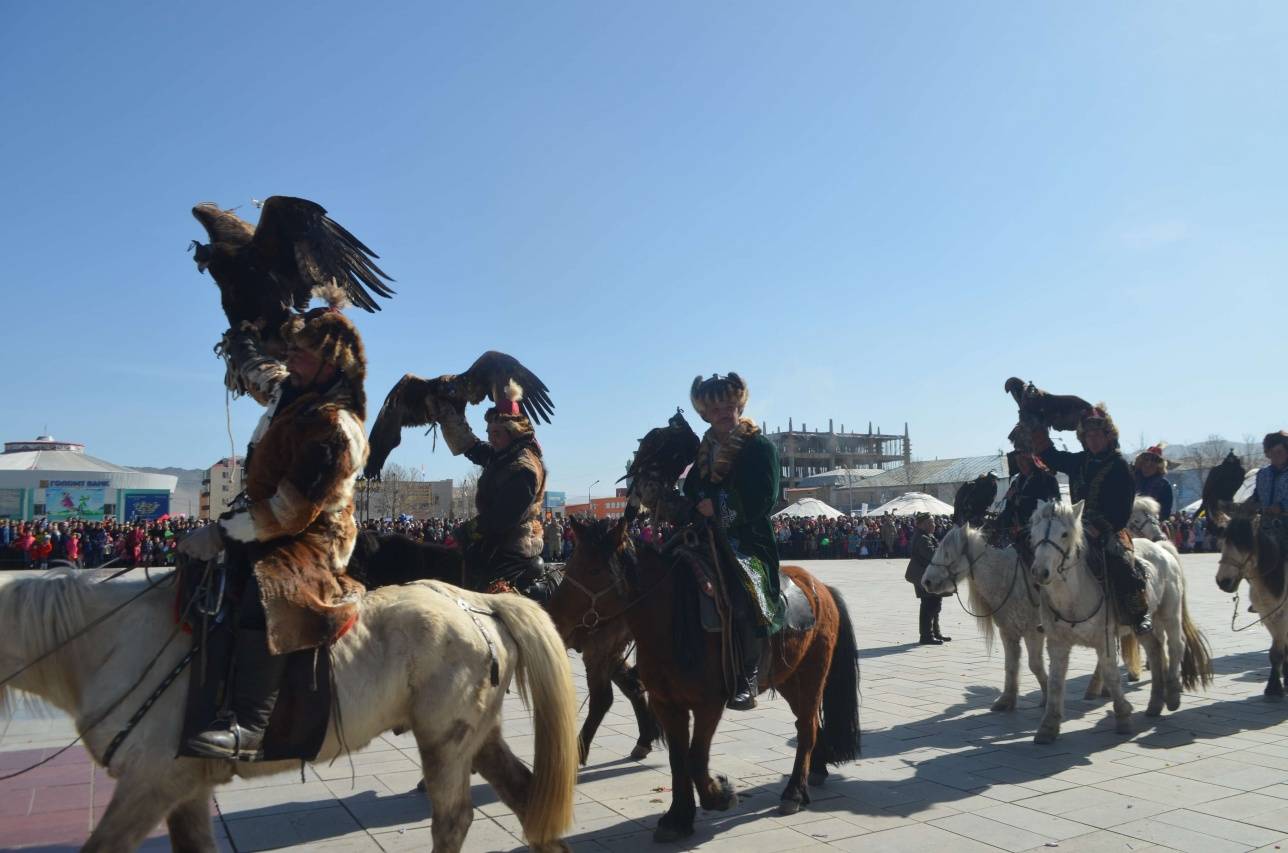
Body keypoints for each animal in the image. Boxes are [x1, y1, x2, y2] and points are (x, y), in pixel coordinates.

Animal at [0, 574, 579, 853]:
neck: (111, 642)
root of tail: (478, 601)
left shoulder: (152, 780)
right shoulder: (183, 786)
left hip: (444, 737)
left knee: (454, 820)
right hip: (474, 733)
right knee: (523, 792)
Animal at [548, 517, 860, 845]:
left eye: (594, 570)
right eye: (570, 567)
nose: (553, 619)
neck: (672, 620)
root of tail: (821, 588)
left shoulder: (709, 704)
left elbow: (696, 758)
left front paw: (719, 796)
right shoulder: (666, 704)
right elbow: (678, 759)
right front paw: (678, 818)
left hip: (813, 674)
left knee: (807, 728)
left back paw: (794, 792)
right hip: (789, 678)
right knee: (807, 723)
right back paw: (816, 771)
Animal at [922, 528, 1040, 716]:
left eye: (947, 554)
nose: (926, 582)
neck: (1008, 577)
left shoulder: (1033, 630)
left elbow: (1035, 665)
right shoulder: (1008, 631)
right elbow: (1011, 666)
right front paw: (1006, 701)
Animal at [1025, 497, 1205, 747]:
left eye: (1064, 534)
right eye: (1034, 533)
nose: (1040, 572)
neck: (1075, 595)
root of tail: (1162, 548)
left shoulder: (1105, 640)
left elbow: (1111, 675)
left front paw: (1122, 716)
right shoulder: (1057, 643)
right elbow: (1055, 681)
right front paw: (1048, 727)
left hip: (1169, 612)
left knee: (1176, 645)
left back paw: (1172, 696)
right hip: (1142, 625)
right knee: (1155, 649)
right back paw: (1155, 703)